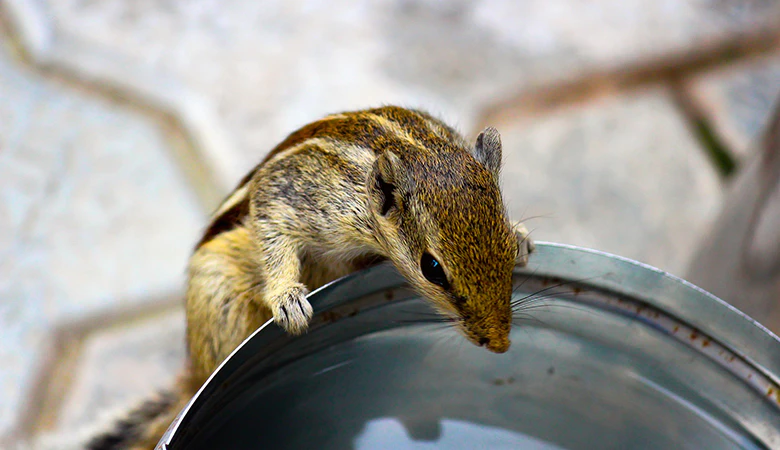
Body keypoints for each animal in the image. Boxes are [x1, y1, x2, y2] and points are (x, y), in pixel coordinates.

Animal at [86, 106, 534, 450]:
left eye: (504, 244)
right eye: (433, 269)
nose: (499, 344)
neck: (417, 149)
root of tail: (192, 372)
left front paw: (524, 238)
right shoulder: (298, 197)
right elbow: (273, 230)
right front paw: (287, 299)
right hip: (219, 299)